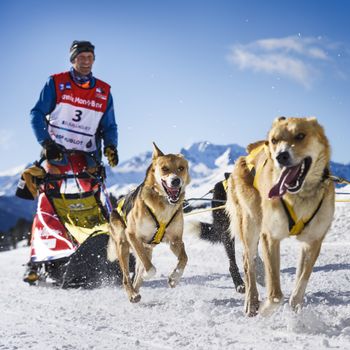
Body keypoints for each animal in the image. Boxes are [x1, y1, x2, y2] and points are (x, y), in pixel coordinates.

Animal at [107, 144, 190, 302]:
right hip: (123, 244)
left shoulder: (175, 240)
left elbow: (184, 258)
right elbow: (150, 268)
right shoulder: (132, 235)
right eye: (165, 168)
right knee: (126, 276)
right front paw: (147, 274)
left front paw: (174, 278)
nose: (176, 181)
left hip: (146, 248)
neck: (163, 205)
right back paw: (132, 293)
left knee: (138, 274)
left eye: (181, 168)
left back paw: (136, 291)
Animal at [226, 117, 334, 318]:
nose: (281, 156)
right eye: (274, 140)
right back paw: (252, 302)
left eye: (300, 136)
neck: (299, 196)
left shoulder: (313, 241)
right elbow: (276, 294)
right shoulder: (270, 237)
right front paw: (265, 309)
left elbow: (300, 286)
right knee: (248, 263)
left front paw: (295, 313)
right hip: (251, 225)